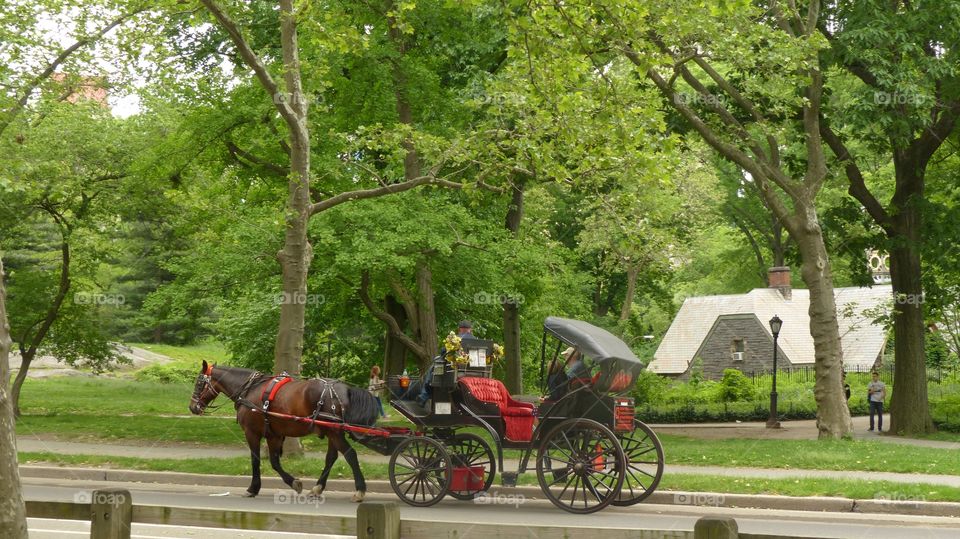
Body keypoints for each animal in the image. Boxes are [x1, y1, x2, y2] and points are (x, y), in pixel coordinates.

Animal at [188, 362, 378, 502]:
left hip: (334, 431)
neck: (250, 389)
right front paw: (293, 482)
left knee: (350, 454)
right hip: (333, 432)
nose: (192, 407)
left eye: (199, 382)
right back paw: (317, 488)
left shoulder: (252, 433)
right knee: (331, 457)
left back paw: (360, 490)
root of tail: (345, 389)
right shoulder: (275, 435)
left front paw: (253, 488)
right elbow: (274, 462)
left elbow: (256, 460)